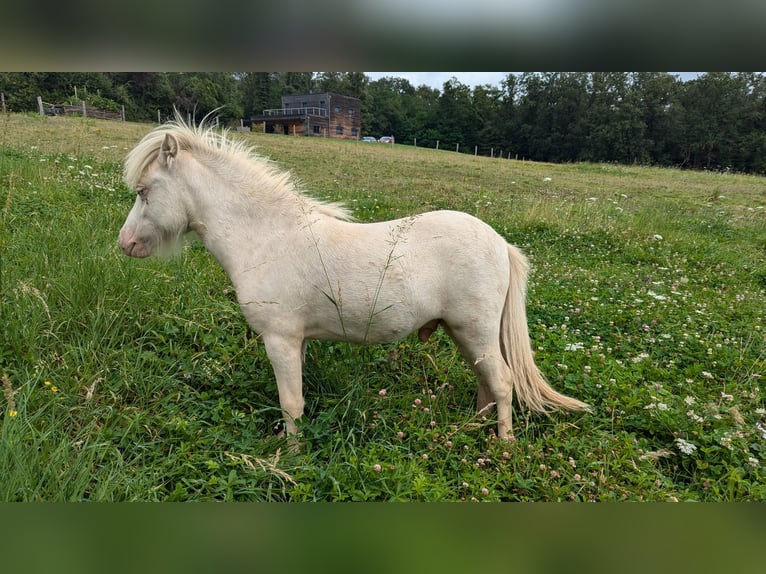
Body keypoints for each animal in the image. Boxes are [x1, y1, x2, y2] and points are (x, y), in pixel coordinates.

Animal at [118, 117, 589, 440]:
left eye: (143, 191)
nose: (126, 244)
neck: (268, 235)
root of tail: (500, 242)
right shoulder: (297, 342)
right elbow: (297, 400)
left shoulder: (280, 340)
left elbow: (291, 404)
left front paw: (290, 457)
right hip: (465, 334)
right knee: (486, 383)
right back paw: (473, 428)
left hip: (476, 331)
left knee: (503, 383)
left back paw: (503, 445)